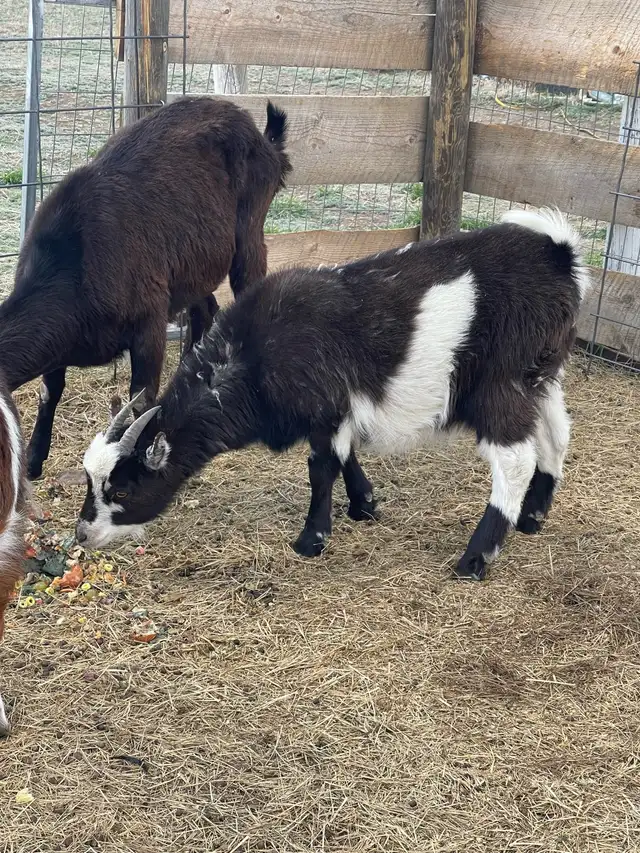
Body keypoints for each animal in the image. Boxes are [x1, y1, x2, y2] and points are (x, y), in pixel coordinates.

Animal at [1, 96, 291, 480]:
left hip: (249, 238)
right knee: (205, 310)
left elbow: (141, 402)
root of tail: (263, 138)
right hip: (191, 265)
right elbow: (51, 390)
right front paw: (34, 460)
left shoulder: (149, 323)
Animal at [76, 209, 589, 580]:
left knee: (514, 460)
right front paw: (366, 506)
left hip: (501, 383)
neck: (254, 352)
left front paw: (311, 540)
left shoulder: (324, 407)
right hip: (541, 376)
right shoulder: (337, 410)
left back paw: (476, 558)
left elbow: (322, 469)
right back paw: (533, 516)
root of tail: (558, 256)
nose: (81, 534)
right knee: (556, 435)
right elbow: (345, 456)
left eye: (121, 487)